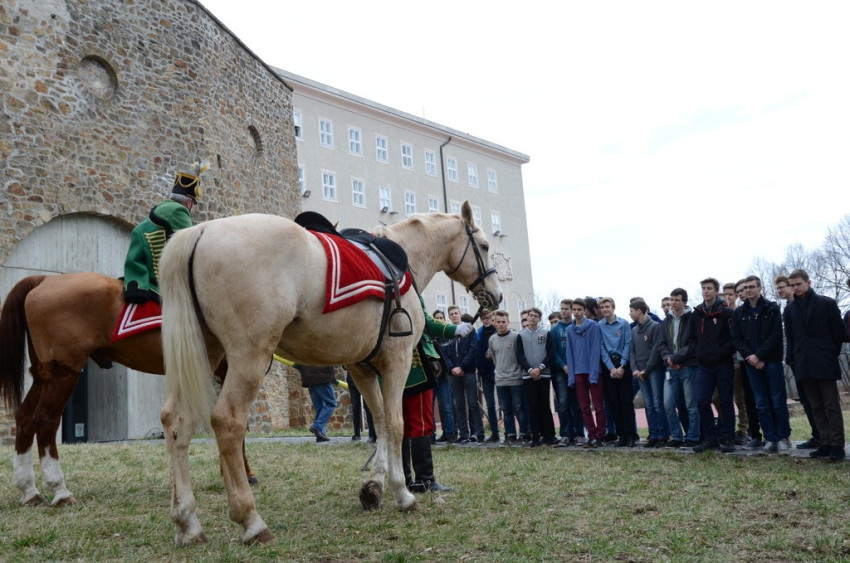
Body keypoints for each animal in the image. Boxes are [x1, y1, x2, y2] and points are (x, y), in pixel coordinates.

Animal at [0, 273, 259, 507]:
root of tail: (44, 279)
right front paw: (241, 474)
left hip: (44, 375)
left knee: (25, 418)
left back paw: (29, 491)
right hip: (63, 373)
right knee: (45, 420)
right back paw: (60, 491)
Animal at [159, 200, 502, 545]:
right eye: (484, 246)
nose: (496, 296)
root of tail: (202, 230)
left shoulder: (361, 368)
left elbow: (379, 422)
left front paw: (374, 486)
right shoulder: (398, 360)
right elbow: (396, 425)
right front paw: (403, 493)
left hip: (206, 351)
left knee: (176, 421)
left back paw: (187, 522)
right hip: (249, 356)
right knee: (227, 421)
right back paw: (251, 520)